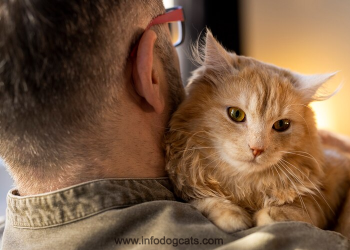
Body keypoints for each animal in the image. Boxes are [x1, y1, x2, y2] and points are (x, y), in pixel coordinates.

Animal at [166, 30, 350, 233]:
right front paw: (231, 215)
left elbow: (305, 208)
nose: (257, 149)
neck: (244, 188)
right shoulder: (186, 185)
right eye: (236, 114)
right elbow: (203, 200)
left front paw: (272, 214)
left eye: (282, 124)